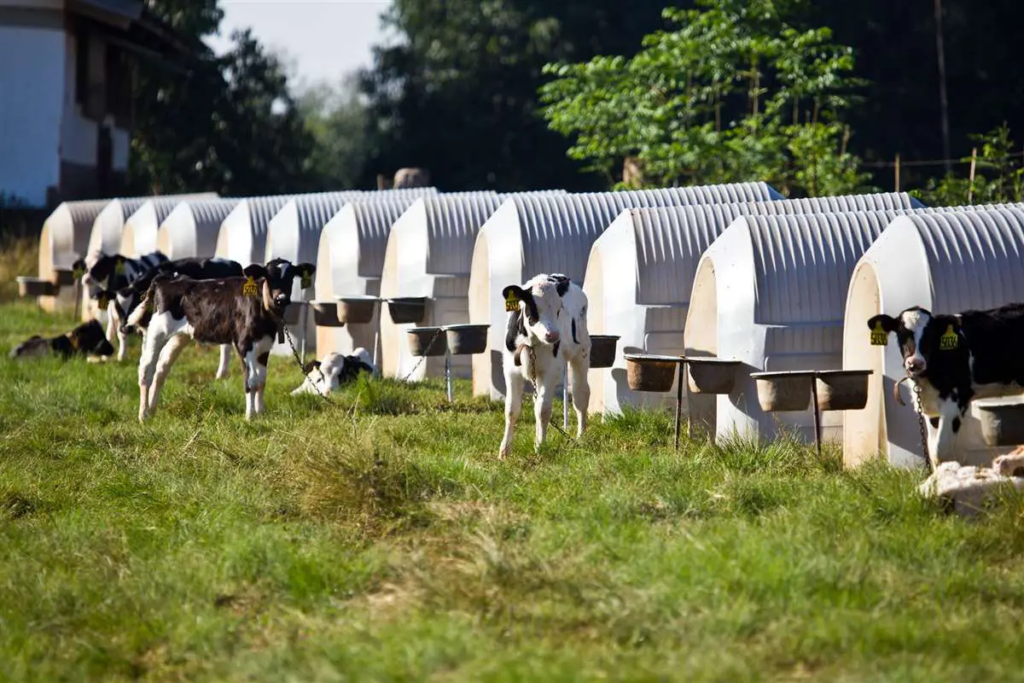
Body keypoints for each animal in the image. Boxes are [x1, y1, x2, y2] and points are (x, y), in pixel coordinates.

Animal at [497, 272, 593, 458]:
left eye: (559, 308)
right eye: (533, 307)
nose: (553, 335)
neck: (530, 343)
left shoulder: (550, 371)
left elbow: (543, 410)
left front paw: (540, 447)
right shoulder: (510, 370)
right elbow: (511, 409)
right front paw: (504, 451)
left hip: (581, 353)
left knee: (580, 395)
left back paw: (581, 437)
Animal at [868, 305, 1024, 471]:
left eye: (930, 333)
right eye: (901, 332)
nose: (915, 363)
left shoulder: (955, 402)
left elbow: (940, 451)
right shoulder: (931, 409)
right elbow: (931, 450)